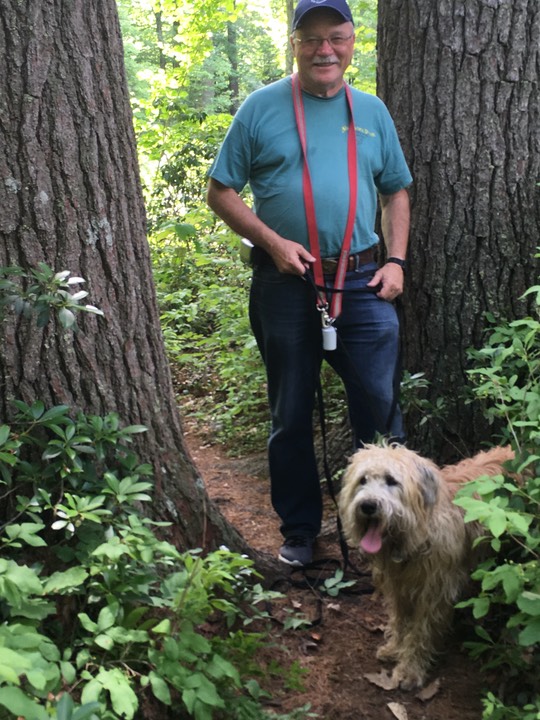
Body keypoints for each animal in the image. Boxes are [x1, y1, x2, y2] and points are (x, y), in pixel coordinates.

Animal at [340, 442, 512, 688]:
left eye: (391, 480)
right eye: (363, 480)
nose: (368, 505)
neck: (416, 536)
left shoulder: (434, 592)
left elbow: (420, 631)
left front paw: (409, 670)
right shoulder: (398, 587)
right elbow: (400, 620)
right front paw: (394, 648)